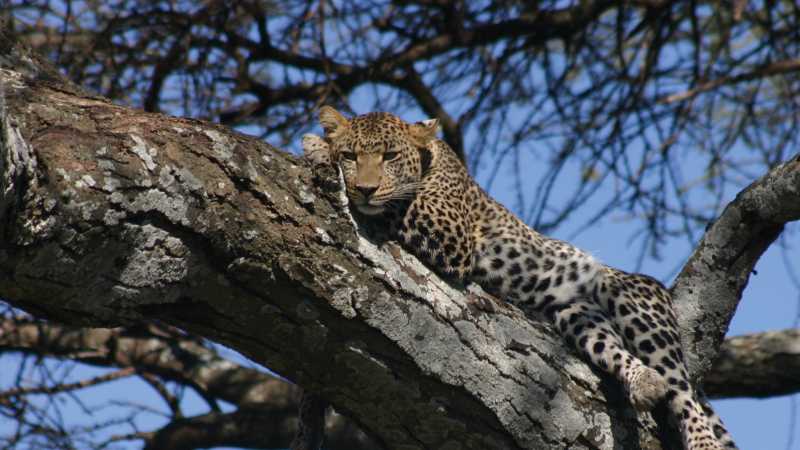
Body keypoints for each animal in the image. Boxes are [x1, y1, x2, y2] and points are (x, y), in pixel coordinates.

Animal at [303, 106, 737, 450]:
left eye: (390, 155)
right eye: (351, 156)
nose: (364, 189)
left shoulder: (449, 230)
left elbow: (397, 202)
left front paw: (314, 147)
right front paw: (322, 148)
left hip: (634, 299)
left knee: (684, 395)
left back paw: (700, 438)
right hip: (575, 313)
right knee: (621, 354)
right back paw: (643, 382)